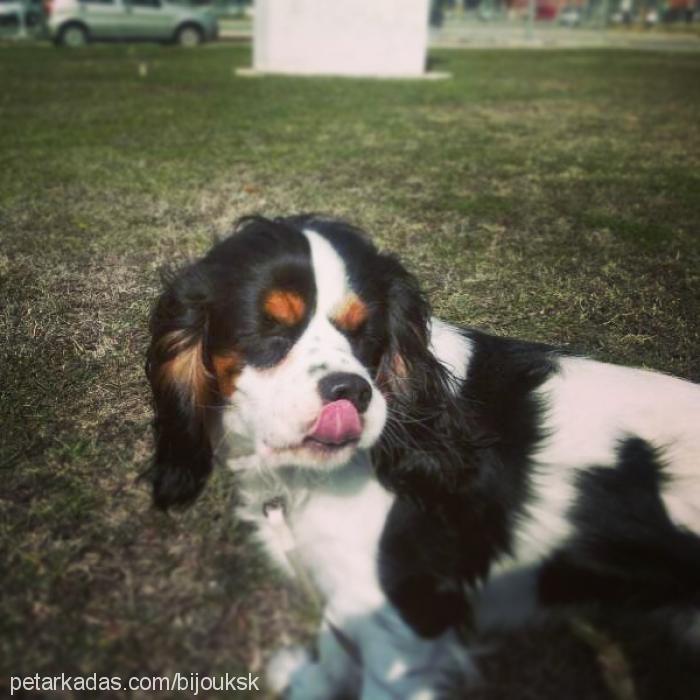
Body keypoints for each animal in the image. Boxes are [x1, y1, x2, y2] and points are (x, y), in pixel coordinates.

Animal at [145, 216, 696, 696]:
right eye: (269, 328)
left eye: (365, 331)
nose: (351, 391)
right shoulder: (347, 589)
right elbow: (334, 645)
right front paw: (310, 685)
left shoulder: (404, 629)